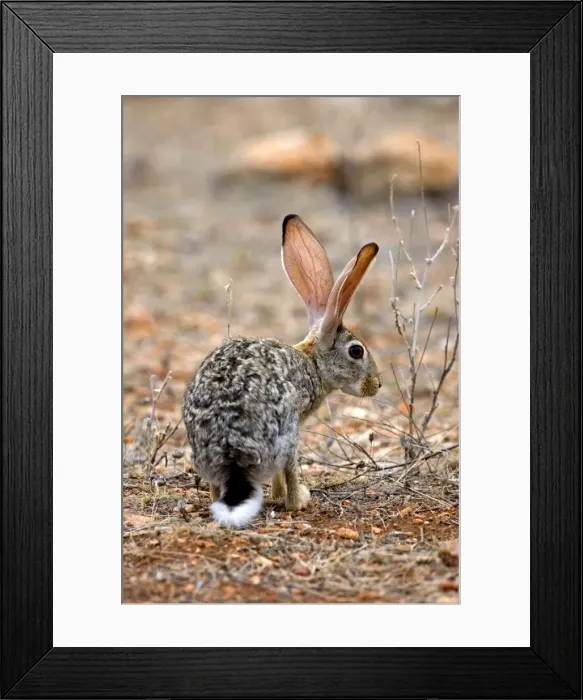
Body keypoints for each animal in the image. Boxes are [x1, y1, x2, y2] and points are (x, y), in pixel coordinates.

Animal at [183, 214, 382, 528]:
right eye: (356, 351)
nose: (377, 384)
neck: (313, 363)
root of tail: (231, 451)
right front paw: (282, 495)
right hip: (287, 436)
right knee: (288, 473)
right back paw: (300, 500)